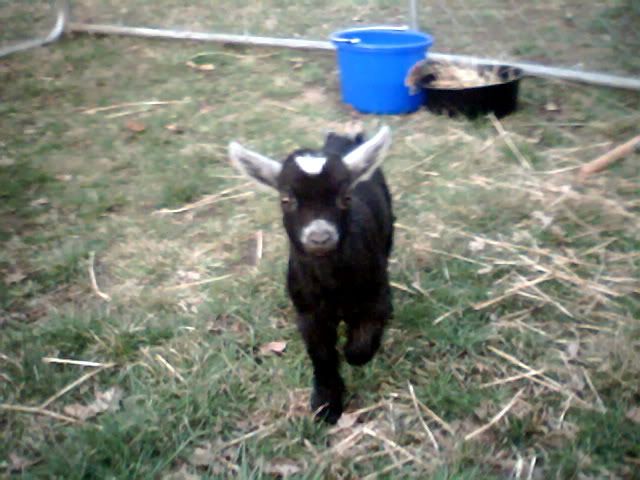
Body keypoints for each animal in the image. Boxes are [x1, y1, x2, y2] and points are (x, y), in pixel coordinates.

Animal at [228, 126, 394, 423]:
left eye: (345, 197)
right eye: (286, 199)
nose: (320, 237)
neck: (332, 282)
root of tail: (341, 139)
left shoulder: (377, 298)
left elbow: (360, 348)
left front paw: (351, 353)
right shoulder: (307, 313)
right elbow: (322, 355)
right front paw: (326, 404)